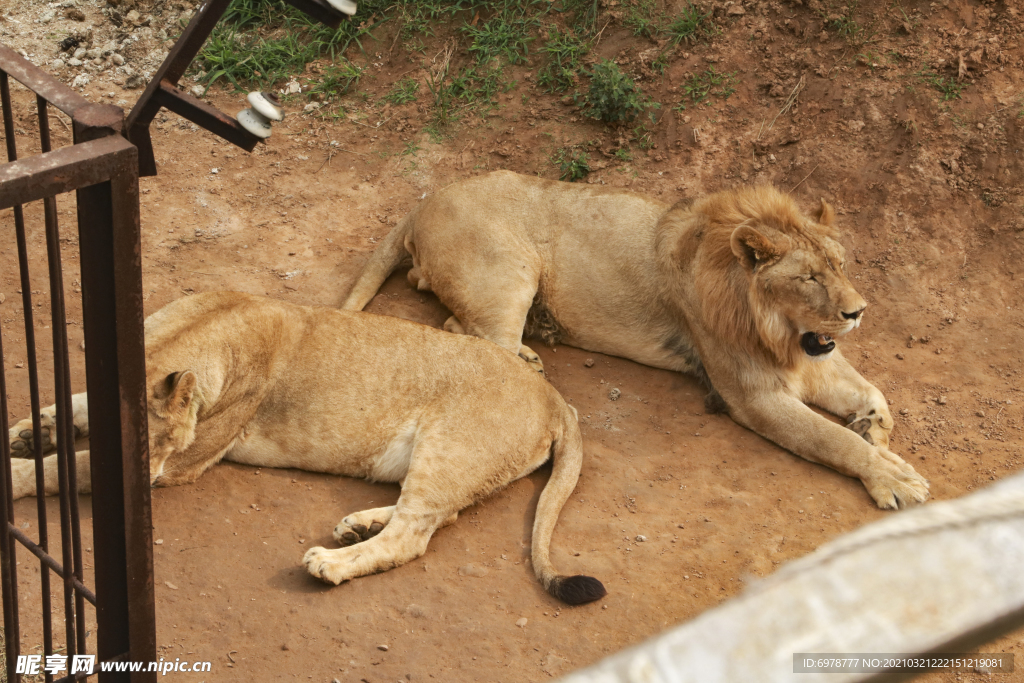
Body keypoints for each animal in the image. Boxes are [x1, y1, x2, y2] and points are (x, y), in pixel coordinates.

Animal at [8, 290, 606, 606]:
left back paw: (331, 562)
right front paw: (33, 430)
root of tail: (556, 396)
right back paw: (358, 526)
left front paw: (18, 465)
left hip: (450, 447)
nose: (146, 482)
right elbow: (75, 406)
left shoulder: (183, 465)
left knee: (414, 534)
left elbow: (59, 468)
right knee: (437, 515)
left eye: (163, 444)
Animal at [342, 174, 929, 509]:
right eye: (807, 277)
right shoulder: (753, 395)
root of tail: (424, 201)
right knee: (474, 338)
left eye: (841, 265)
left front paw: (878, 436)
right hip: (508, 272)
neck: (778, 327)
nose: (858, 312)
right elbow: (832, 441)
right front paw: (892, 476)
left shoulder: (812, 357)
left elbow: (874, 396)